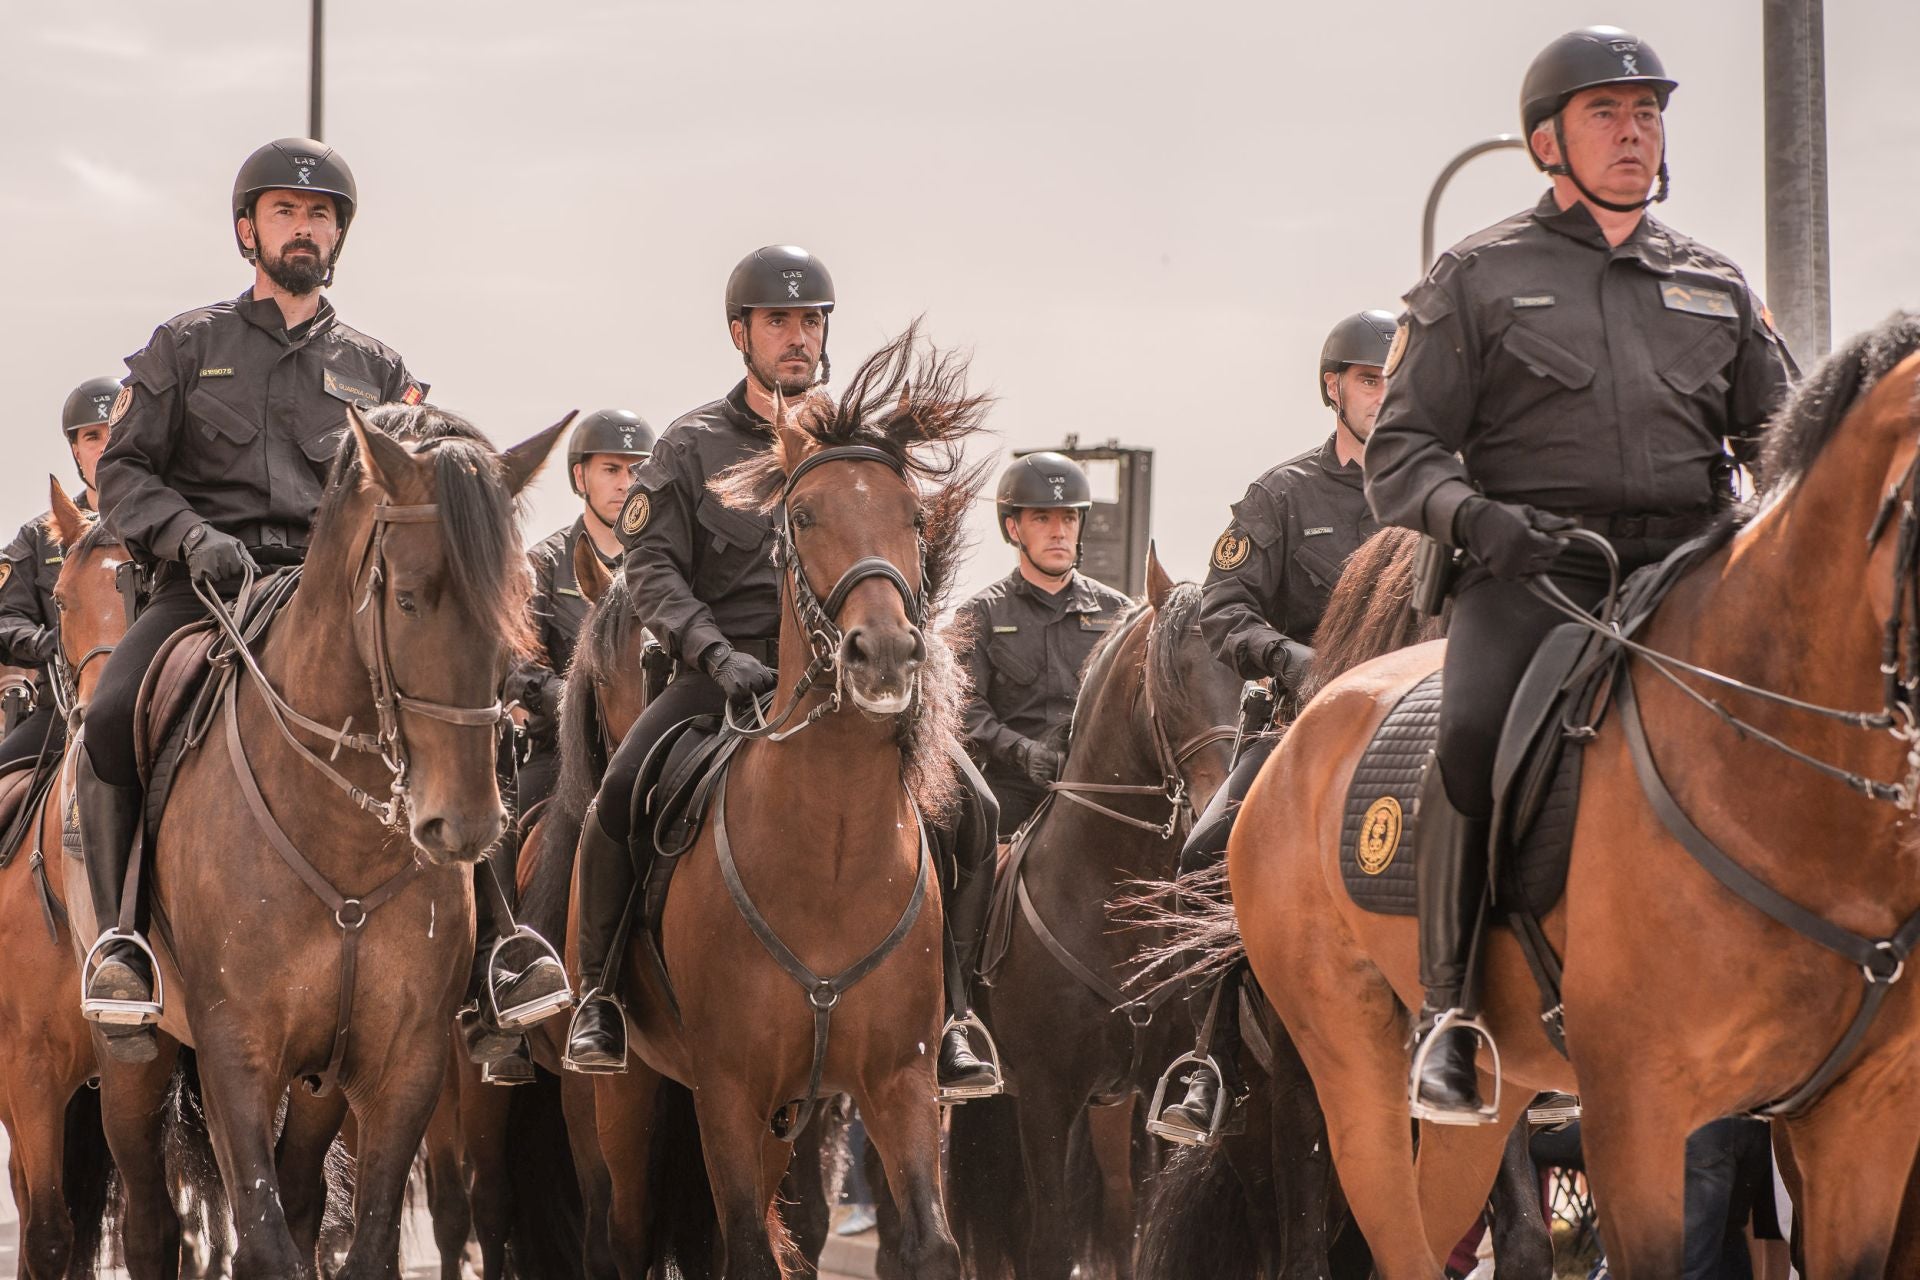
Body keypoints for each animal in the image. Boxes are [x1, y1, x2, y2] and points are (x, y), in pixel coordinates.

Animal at [74, 404, 564, 1274]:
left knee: (302, 1198)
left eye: (518, 605)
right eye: (409, 599)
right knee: (151, 1221)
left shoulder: (403, 1065)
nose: (465, 825)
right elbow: (263, 1242)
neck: (345, 841)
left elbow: (358, 1243)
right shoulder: (236, 1054)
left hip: (322, 1084)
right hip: (136, 1061)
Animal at [587, 328, 990, 1280]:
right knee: (624, 1235)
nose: (884, 654)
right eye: (801, 518)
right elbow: (743, 1249)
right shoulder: (729, 1092)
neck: (833, 853)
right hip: (632, 1097)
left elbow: (929, 1244)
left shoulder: (899, 1084)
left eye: (914, 519)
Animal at [948, 560, 1244, 1280]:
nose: (1219, 804)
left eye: (1247, 677)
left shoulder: (1154, 1092)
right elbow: (1048, 1243)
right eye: (1172, 677)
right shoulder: (1046, 1096)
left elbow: (1138, 1238)